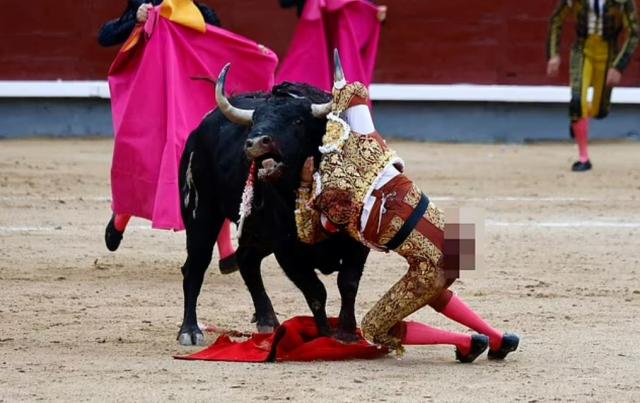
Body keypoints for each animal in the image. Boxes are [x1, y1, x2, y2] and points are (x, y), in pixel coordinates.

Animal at [178, 80, 370, 346]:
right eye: (254, 121)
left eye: (298, 121)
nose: (257, 142)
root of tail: (199, 131)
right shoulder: (287, 250)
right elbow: (316, 291)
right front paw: (324, 335)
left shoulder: (359, 241)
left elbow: (348, 283)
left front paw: (347, 333)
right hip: (202, 214)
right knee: (195, 267)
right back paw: (190, 330)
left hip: (256, 233)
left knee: (246, 259)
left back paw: (267, 320)